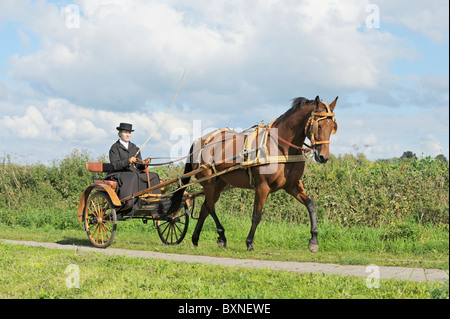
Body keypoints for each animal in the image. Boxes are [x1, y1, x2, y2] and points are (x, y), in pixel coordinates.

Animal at [168, 95, 338, 252]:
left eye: (332, 127)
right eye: (319, 125)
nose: (323, 157)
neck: (280, 147)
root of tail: (200, 141)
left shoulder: (292, 185)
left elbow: (311, 205)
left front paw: (314, 240)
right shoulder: (262, 187)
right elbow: (257, 215)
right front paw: (249, 242)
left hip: (219, 182)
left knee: (205, 208)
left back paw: (196, 238)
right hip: (208, 181)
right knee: (210, 207)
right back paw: (221, 235)